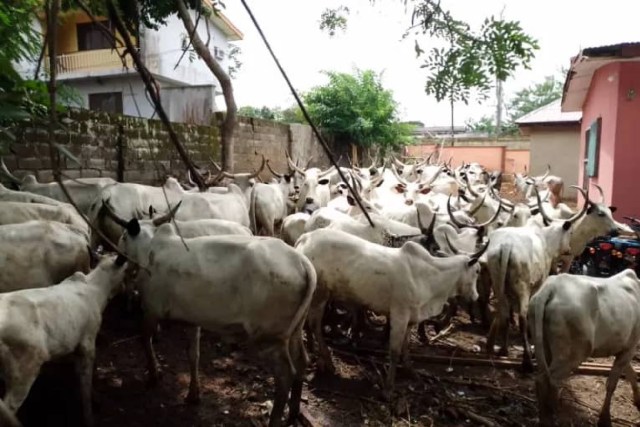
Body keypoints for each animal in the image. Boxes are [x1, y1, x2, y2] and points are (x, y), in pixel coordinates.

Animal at [0, 254, 127, 424]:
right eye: (126, 270)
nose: (126, 289)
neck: (95, 289)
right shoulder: (87, 343)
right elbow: (85, 382)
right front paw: (89, 416)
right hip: (24, 372)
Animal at [528, 270, 640, 427]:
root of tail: (551, 287)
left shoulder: (623, 348)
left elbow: (631, 373)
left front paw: (638, 400)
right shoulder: (630, 346)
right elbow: (611, 384)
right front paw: (605, 419)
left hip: (543, 343)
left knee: (542, 377)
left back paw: (546, 415)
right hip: (575, 352)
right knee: (549, 379)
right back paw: (551, 416)